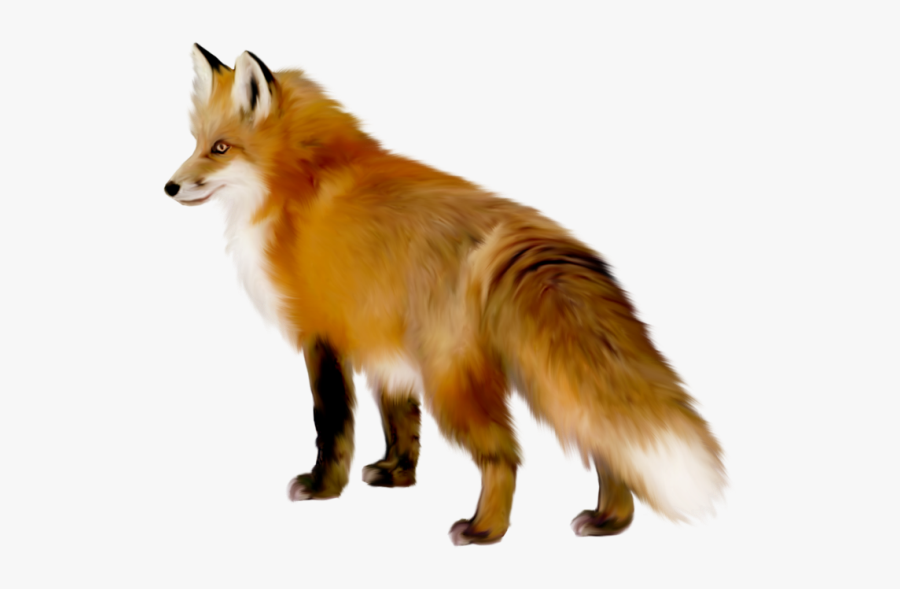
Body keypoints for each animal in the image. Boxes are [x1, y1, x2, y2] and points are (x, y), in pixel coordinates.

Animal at [165, 44, 725, 545]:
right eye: (194, 142)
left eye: (220, 148)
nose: (169, 187)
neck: (298, 183)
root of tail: (532, 237)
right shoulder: (382, 345)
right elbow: (400, 421)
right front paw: (396, 474)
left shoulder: (322, 334)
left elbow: (331, 424)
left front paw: (323, 487)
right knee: (603, 442)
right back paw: (610, 521)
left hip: (451, 380)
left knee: (506, 456)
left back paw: (484, 530)